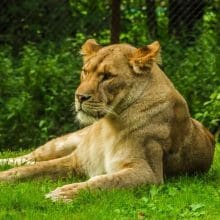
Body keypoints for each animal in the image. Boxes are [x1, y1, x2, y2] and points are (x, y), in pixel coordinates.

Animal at [0, 39, 214, 201]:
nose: (79, 97)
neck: (108, 125)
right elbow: (27, 171)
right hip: (65, 142)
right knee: (31, 157)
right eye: (85, 71)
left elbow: (104, 181)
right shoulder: (76, 161)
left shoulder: (149, 173)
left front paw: (65, 193)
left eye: (107, 76)